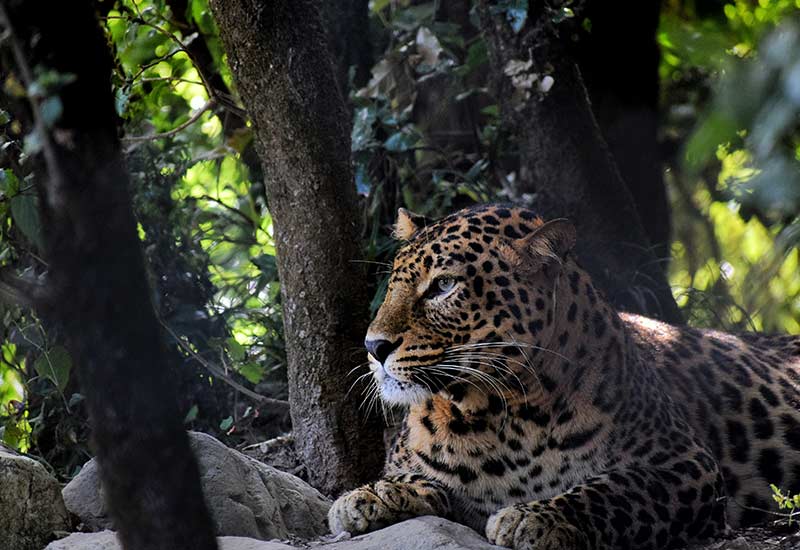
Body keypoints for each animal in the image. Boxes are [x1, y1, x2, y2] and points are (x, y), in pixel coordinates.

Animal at [326, 205, 800, 548]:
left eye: (443, 286)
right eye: (393, 284)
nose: (373, 346)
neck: (499, 415)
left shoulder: (684, 463)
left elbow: (613, 489)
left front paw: (534, 517)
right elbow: (415, 477)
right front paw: (368, 496)